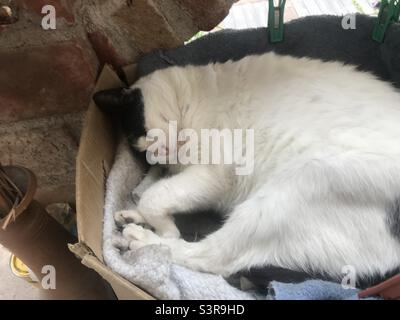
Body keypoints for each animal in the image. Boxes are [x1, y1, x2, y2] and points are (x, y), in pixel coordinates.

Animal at [94, 53, 400, 284]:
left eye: (140, 132)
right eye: (140, 150)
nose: (158, 154)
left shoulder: (214, 175)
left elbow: (154, 197)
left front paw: (162, 226)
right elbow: (156, 191)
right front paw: (140, 209)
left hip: (295, 186)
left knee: (213, 257)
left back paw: (145, 240)